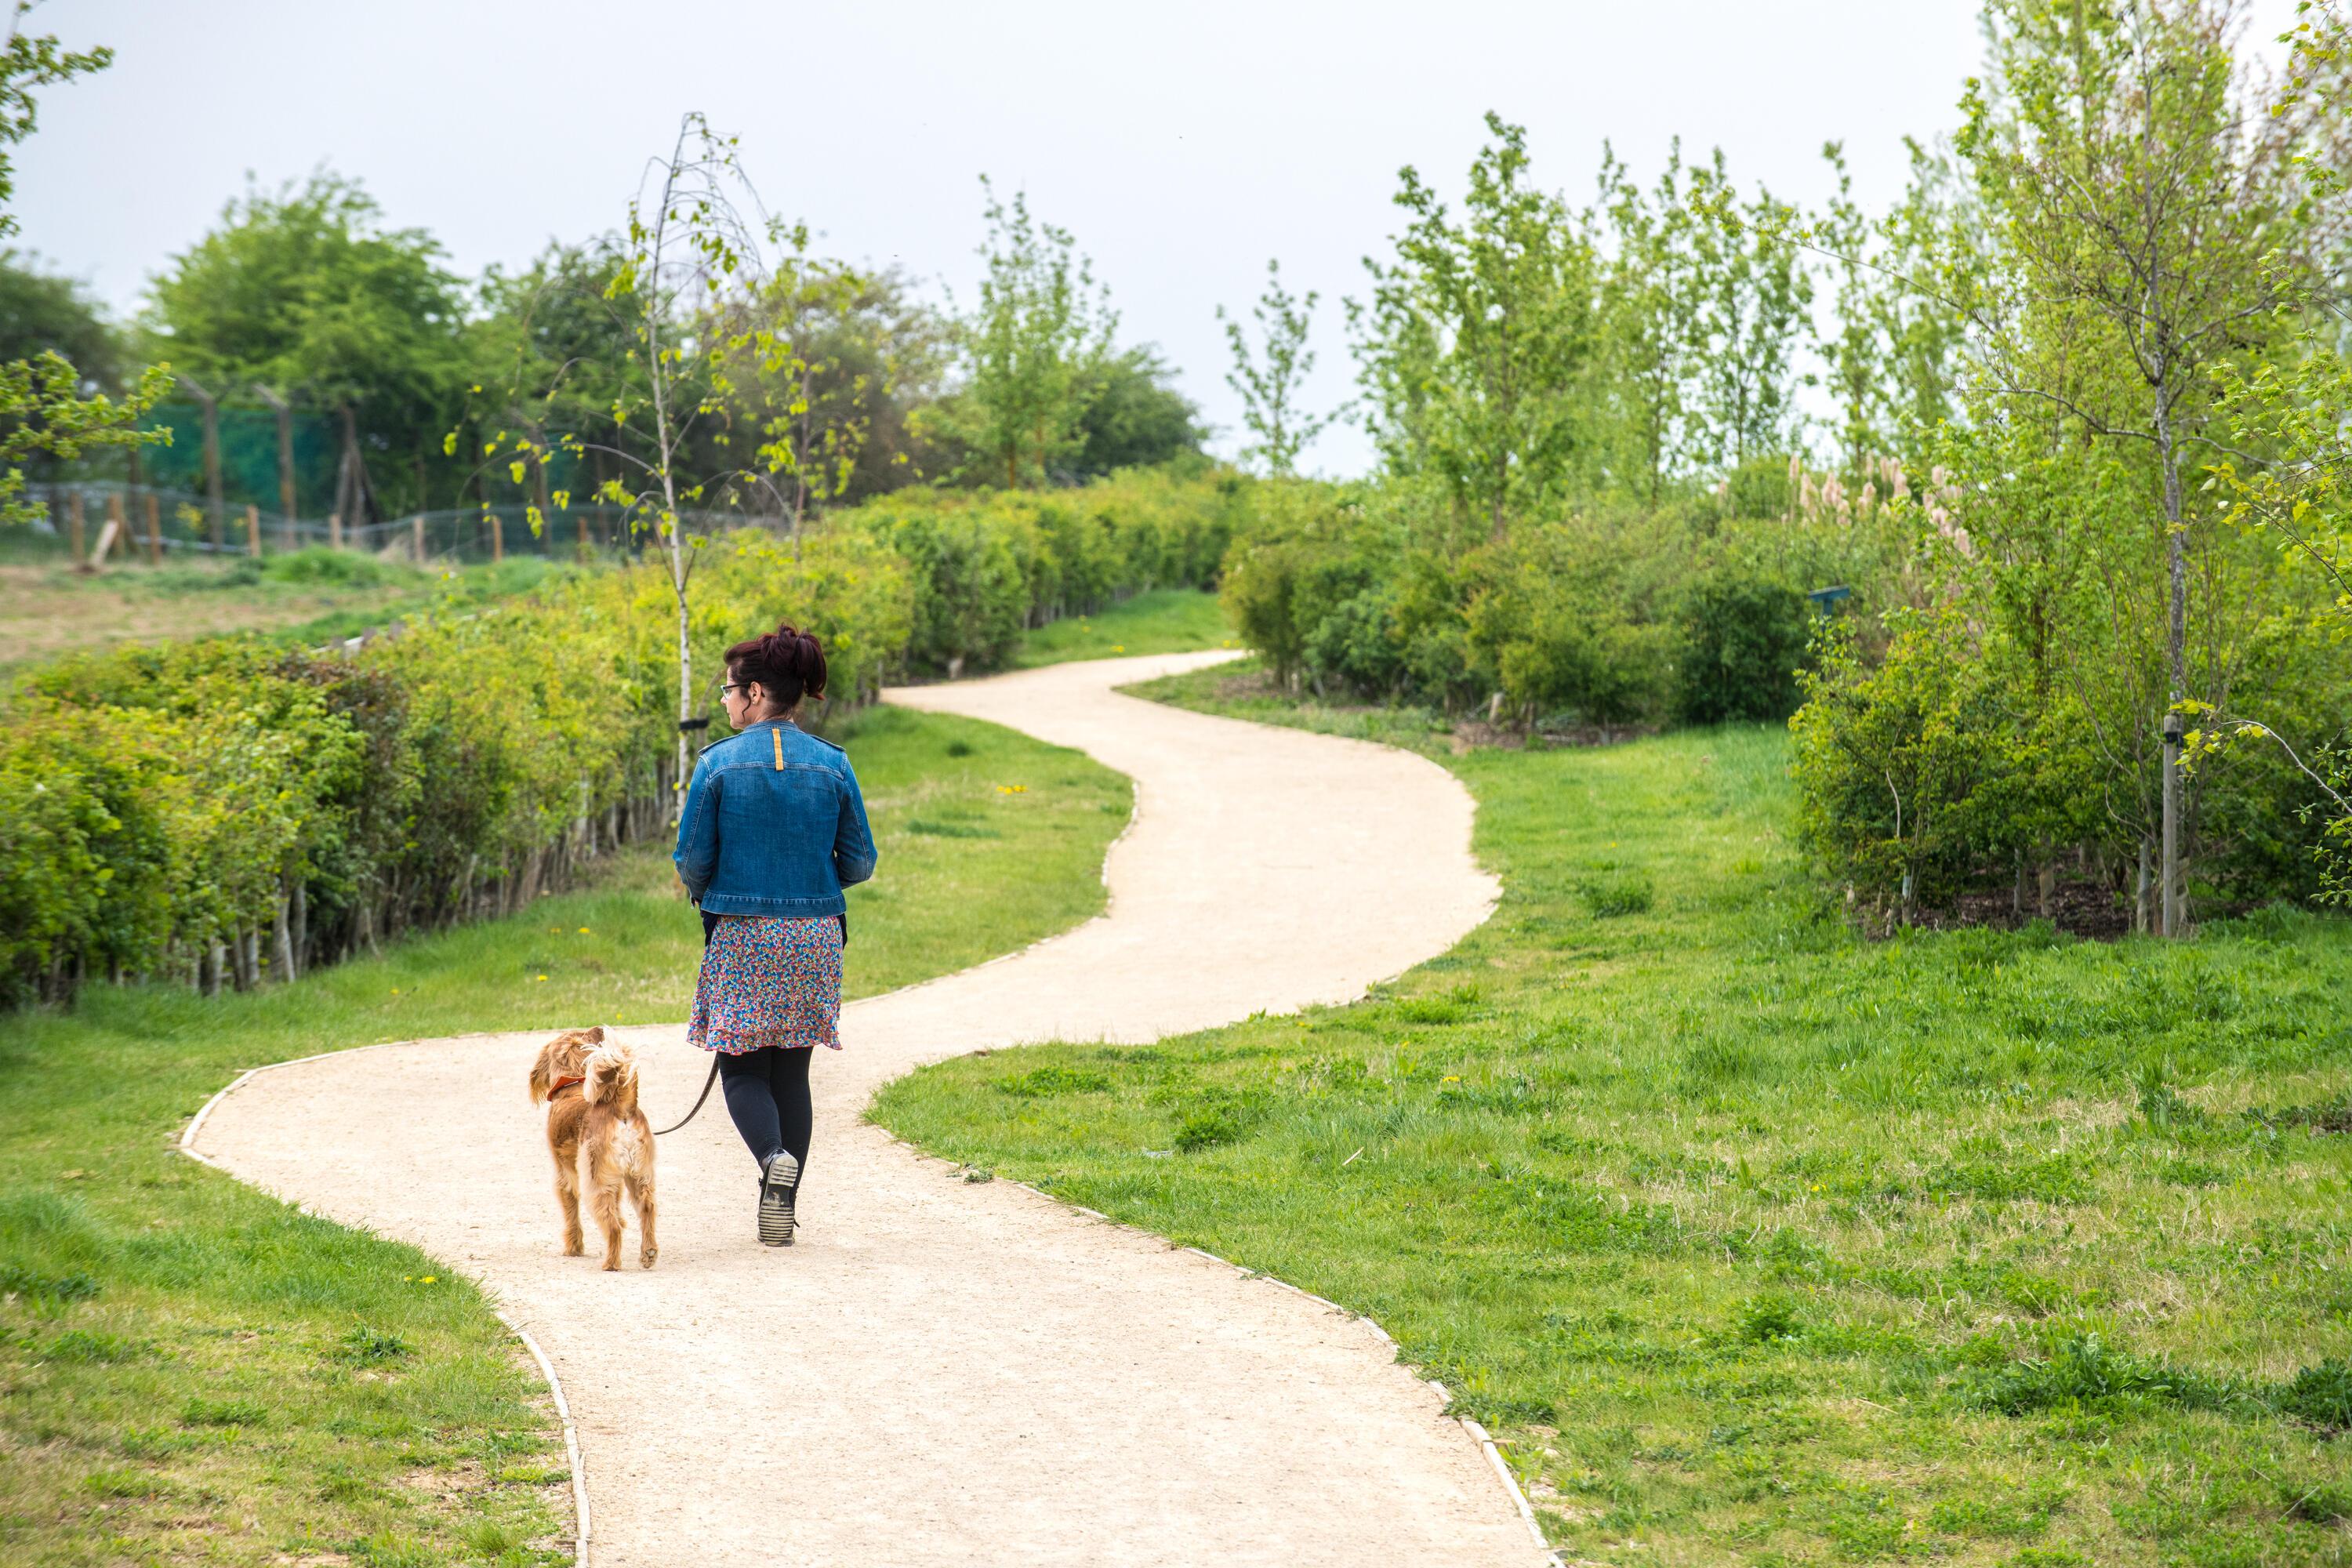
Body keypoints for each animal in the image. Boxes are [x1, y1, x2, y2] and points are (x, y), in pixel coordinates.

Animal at [522, 1029, 654, 1279]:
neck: (572, 1086)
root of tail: (621, 1107)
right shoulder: (616, 1180)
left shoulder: (564, 1175)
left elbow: (571, 1211)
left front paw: (573, 1247)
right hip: (639, 1175)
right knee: (647, 1208)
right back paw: (649, 1252)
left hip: (594, 1180)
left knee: (612, 1226)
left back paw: (611, 1263)